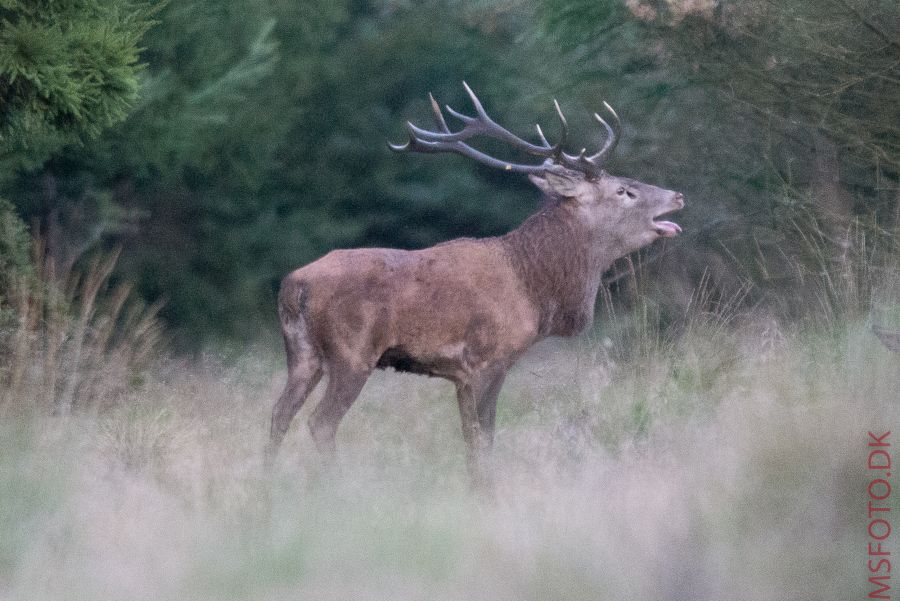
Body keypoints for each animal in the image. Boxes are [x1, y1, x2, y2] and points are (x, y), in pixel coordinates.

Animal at [266, 82, 684, 486]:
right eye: (624, 191)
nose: (677, 195)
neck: (533, 289)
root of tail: (294, 286)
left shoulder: (460, 375)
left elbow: (470, 438)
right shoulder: (489, 359)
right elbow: (484, 438)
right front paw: (486, 492)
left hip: (303, 353)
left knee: (279, 413)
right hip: (352, 351)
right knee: (321, 422)